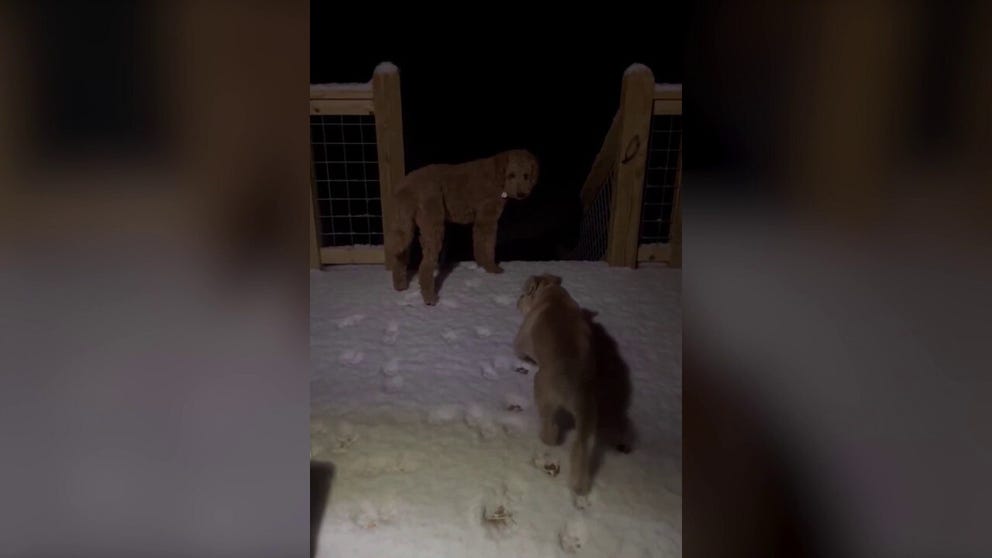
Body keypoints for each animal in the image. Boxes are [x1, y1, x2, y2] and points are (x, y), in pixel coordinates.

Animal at [388, 150, 540, 306]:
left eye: (526, 175)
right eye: (511, 175)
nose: (521, 194)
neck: (497, 175)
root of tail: (407, 186)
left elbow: (480, 246)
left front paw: (483, 265)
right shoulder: (487, 218)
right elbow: (488, 246)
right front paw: (493, 268)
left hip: (403, 223)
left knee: (399, 256)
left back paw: (400, 286)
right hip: (432, 222)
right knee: (425, 266)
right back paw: (430, 299)